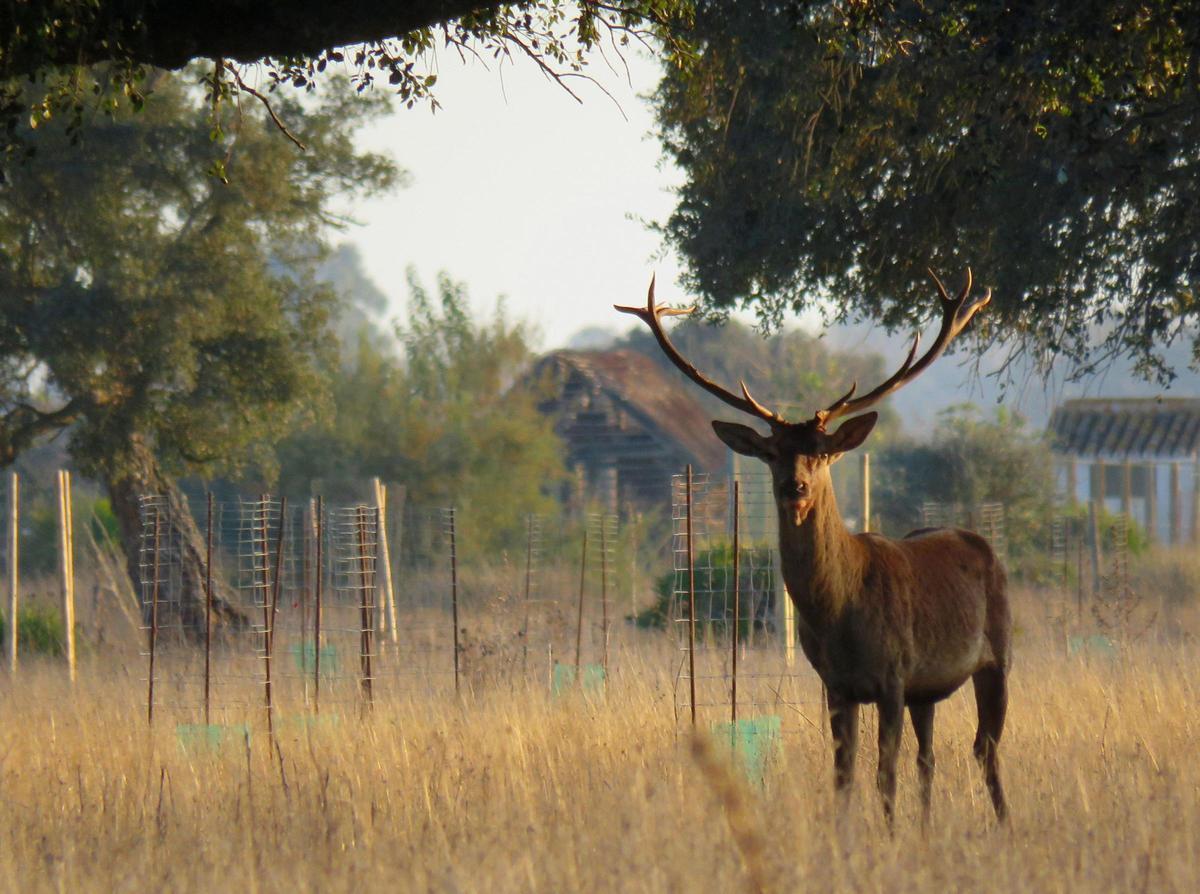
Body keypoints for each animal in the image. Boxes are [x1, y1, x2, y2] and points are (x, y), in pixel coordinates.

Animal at [619, 270, 1012, 820]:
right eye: (771, 453)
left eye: (823, 452)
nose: (795, 487)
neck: (839, 613)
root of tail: (982, 542)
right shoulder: (835, 683)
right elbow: (843, 778)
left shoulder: (893, 674)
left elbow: (883, 776)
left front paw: (888, 834)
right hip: (928, 690)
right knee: (929, 757)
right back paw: (929, 828)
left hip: (998, 654)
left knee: (985, 747)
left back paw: (1003, 824)